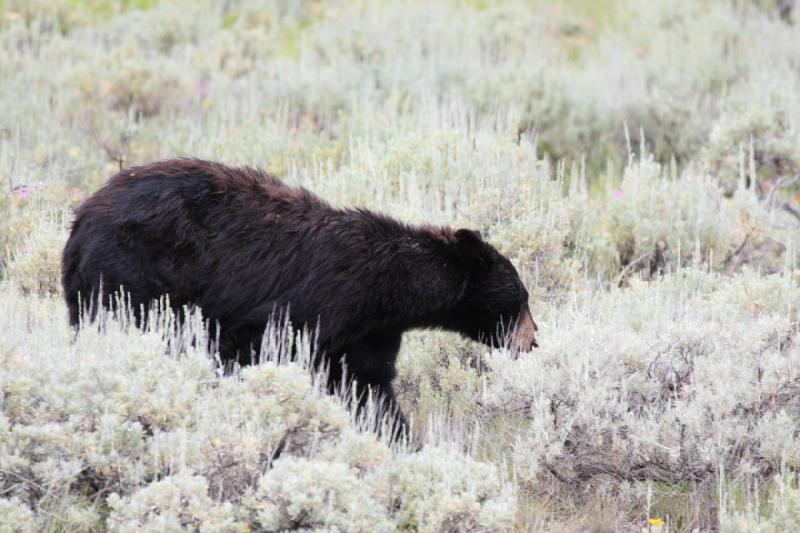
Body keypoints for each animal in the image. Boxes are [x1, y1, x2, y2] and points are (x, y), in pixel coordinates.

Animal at [62, 159, 536, 440]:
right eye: (521, 298)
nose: (533, 341)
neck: (391, 287)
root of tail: (81, 219)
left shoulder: (369, 330)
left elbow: (369, 385)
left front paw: (400, 442)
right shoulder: (320, 301)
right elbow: (257, 345)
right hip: (131, 275)